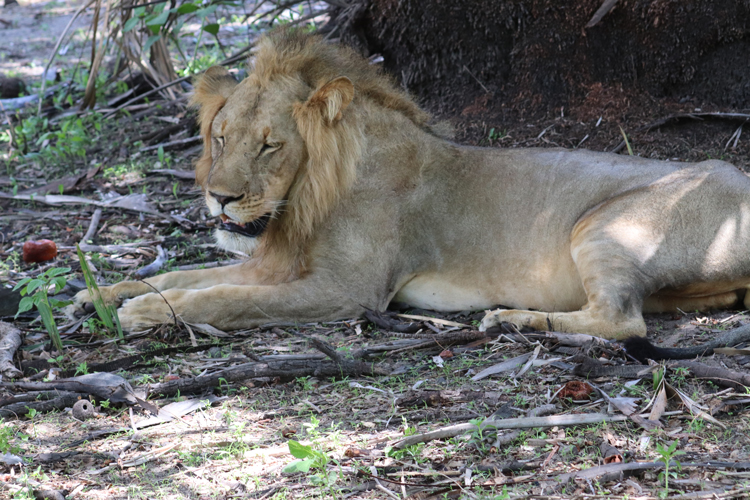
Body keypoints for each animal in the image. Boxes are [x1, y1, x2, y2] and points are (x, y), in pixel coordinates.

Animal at [67, 30, 750, 340]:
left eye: (269, 144)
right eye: (220, 137)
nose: (221, 197)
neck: (307, 198)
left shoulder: (348, 293)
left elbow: (221, 298)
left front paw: (142, 312)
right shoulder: (276, 263)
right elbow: (184, 275)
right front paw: (99, 293)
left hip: (604, 224)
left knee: (622, 321)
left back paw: (509, 318)